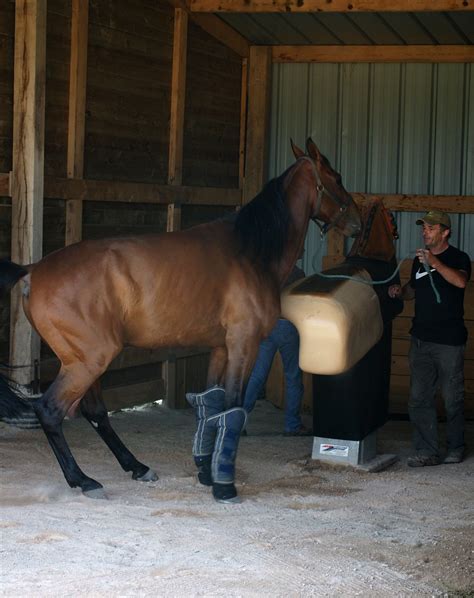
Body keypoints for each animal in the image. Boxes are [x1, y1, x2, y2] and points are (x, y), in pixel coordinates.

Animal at [0, 138, 362, 504]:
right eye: (336, 178)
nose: (358, 222)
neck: (250, 251)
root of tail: (32, 270)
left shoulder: (220, 347)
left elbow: (211, 406)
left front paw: (206, 471)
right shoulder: (244, 343)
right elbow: (233, 408)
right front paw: (224, 485)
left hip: (85, 361)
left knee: (95, 412)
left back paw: (136, 467)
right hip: (89, 360)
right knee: (50, 410)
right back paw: (84, 480)